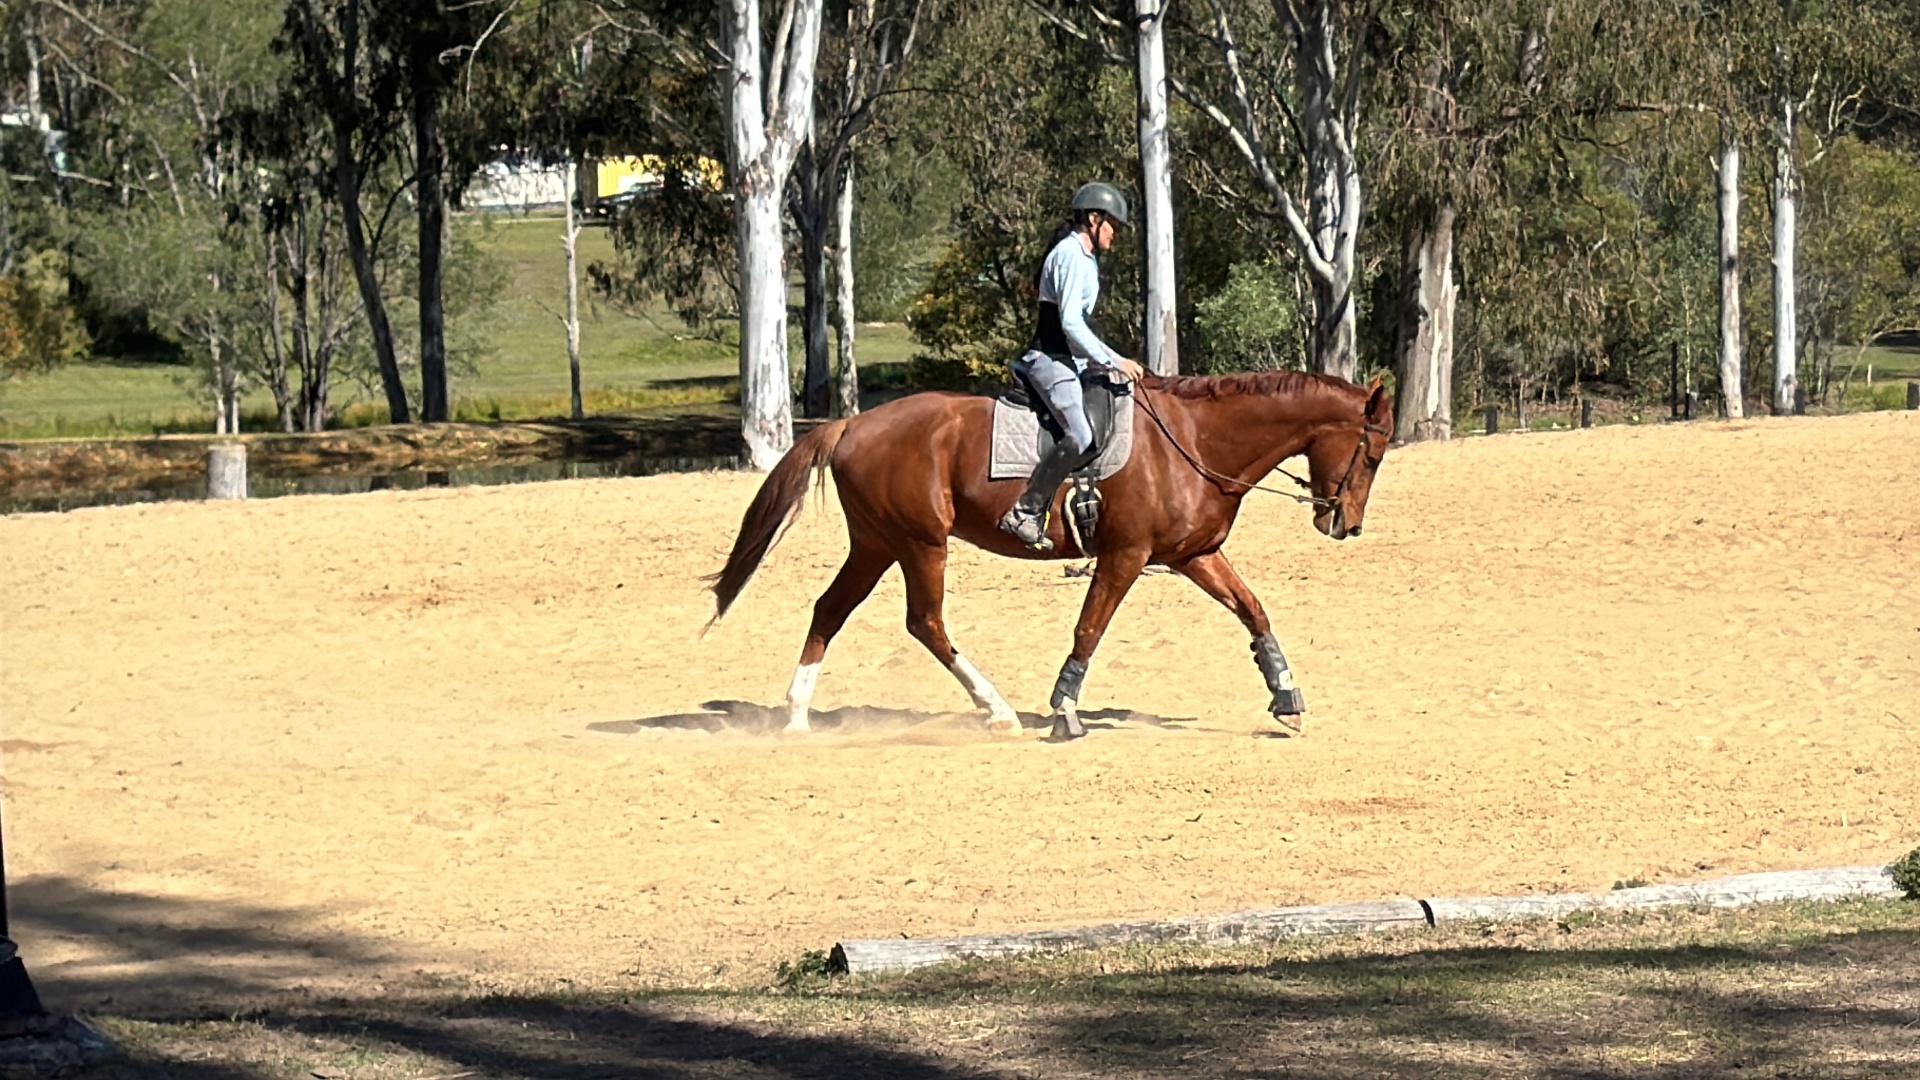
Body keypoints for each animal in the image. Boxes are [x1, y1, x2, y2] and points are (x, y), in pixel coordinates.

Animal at [709, 370, 1394, 739]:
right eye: (1373, 453)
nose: (1346, 525)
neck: (1195, 442)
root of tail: (854, 423)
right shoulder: (1125, 555)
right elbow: (1089, 628)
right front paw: (1065, 710)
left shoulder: (1194, 555)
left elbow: (1253, 611)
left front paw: (1287, 699)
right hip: (919, 544)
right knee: (925, 622)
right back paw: (997, 710)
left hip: (877, 544)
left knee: (831, 610)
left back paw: (797, 716)